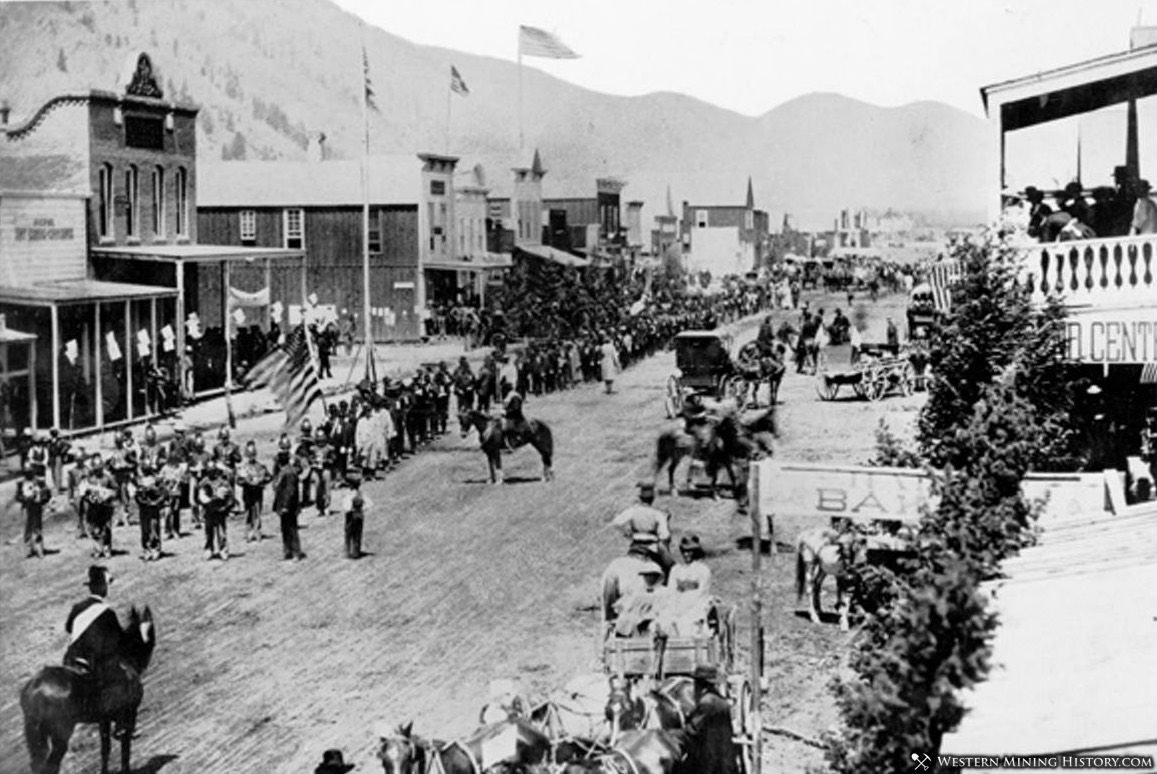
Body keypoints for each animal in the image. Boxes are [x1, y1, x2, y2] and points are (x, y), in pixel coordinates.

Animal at [20, 601, 155, 772]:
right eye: (149, 631)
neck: (123, 662)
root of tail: (36, 688)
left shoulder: (104, 721)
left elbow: (105, 748)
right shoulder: (128, 717)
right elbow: (125, 751)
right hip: (60, 735)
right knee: (50, 765)